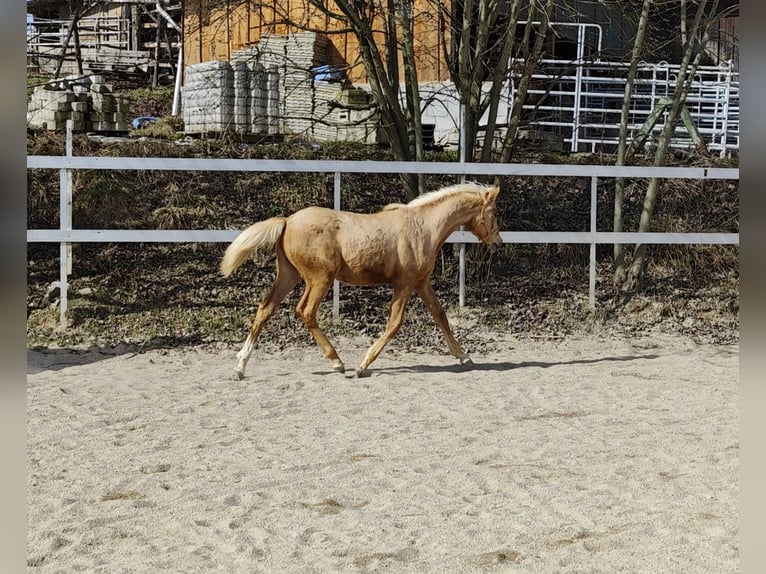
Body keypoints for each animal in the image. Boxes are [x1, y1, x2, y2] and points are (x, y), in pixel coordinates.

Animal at [220, 183, 504, 382]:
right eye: (494, 212)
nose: (498, 243)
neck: (423, 228)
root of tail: (287, 221)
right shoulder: (404, 284)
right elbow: (394, 324)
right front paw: (363, 365)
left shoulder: (421, 281)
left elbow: (440, 315)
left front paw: (464, 357)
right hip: (319, 278)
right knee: (305, 311)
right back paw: (337, 362)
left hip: (288, 275)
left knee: (265, 309)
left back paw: (240, 367)